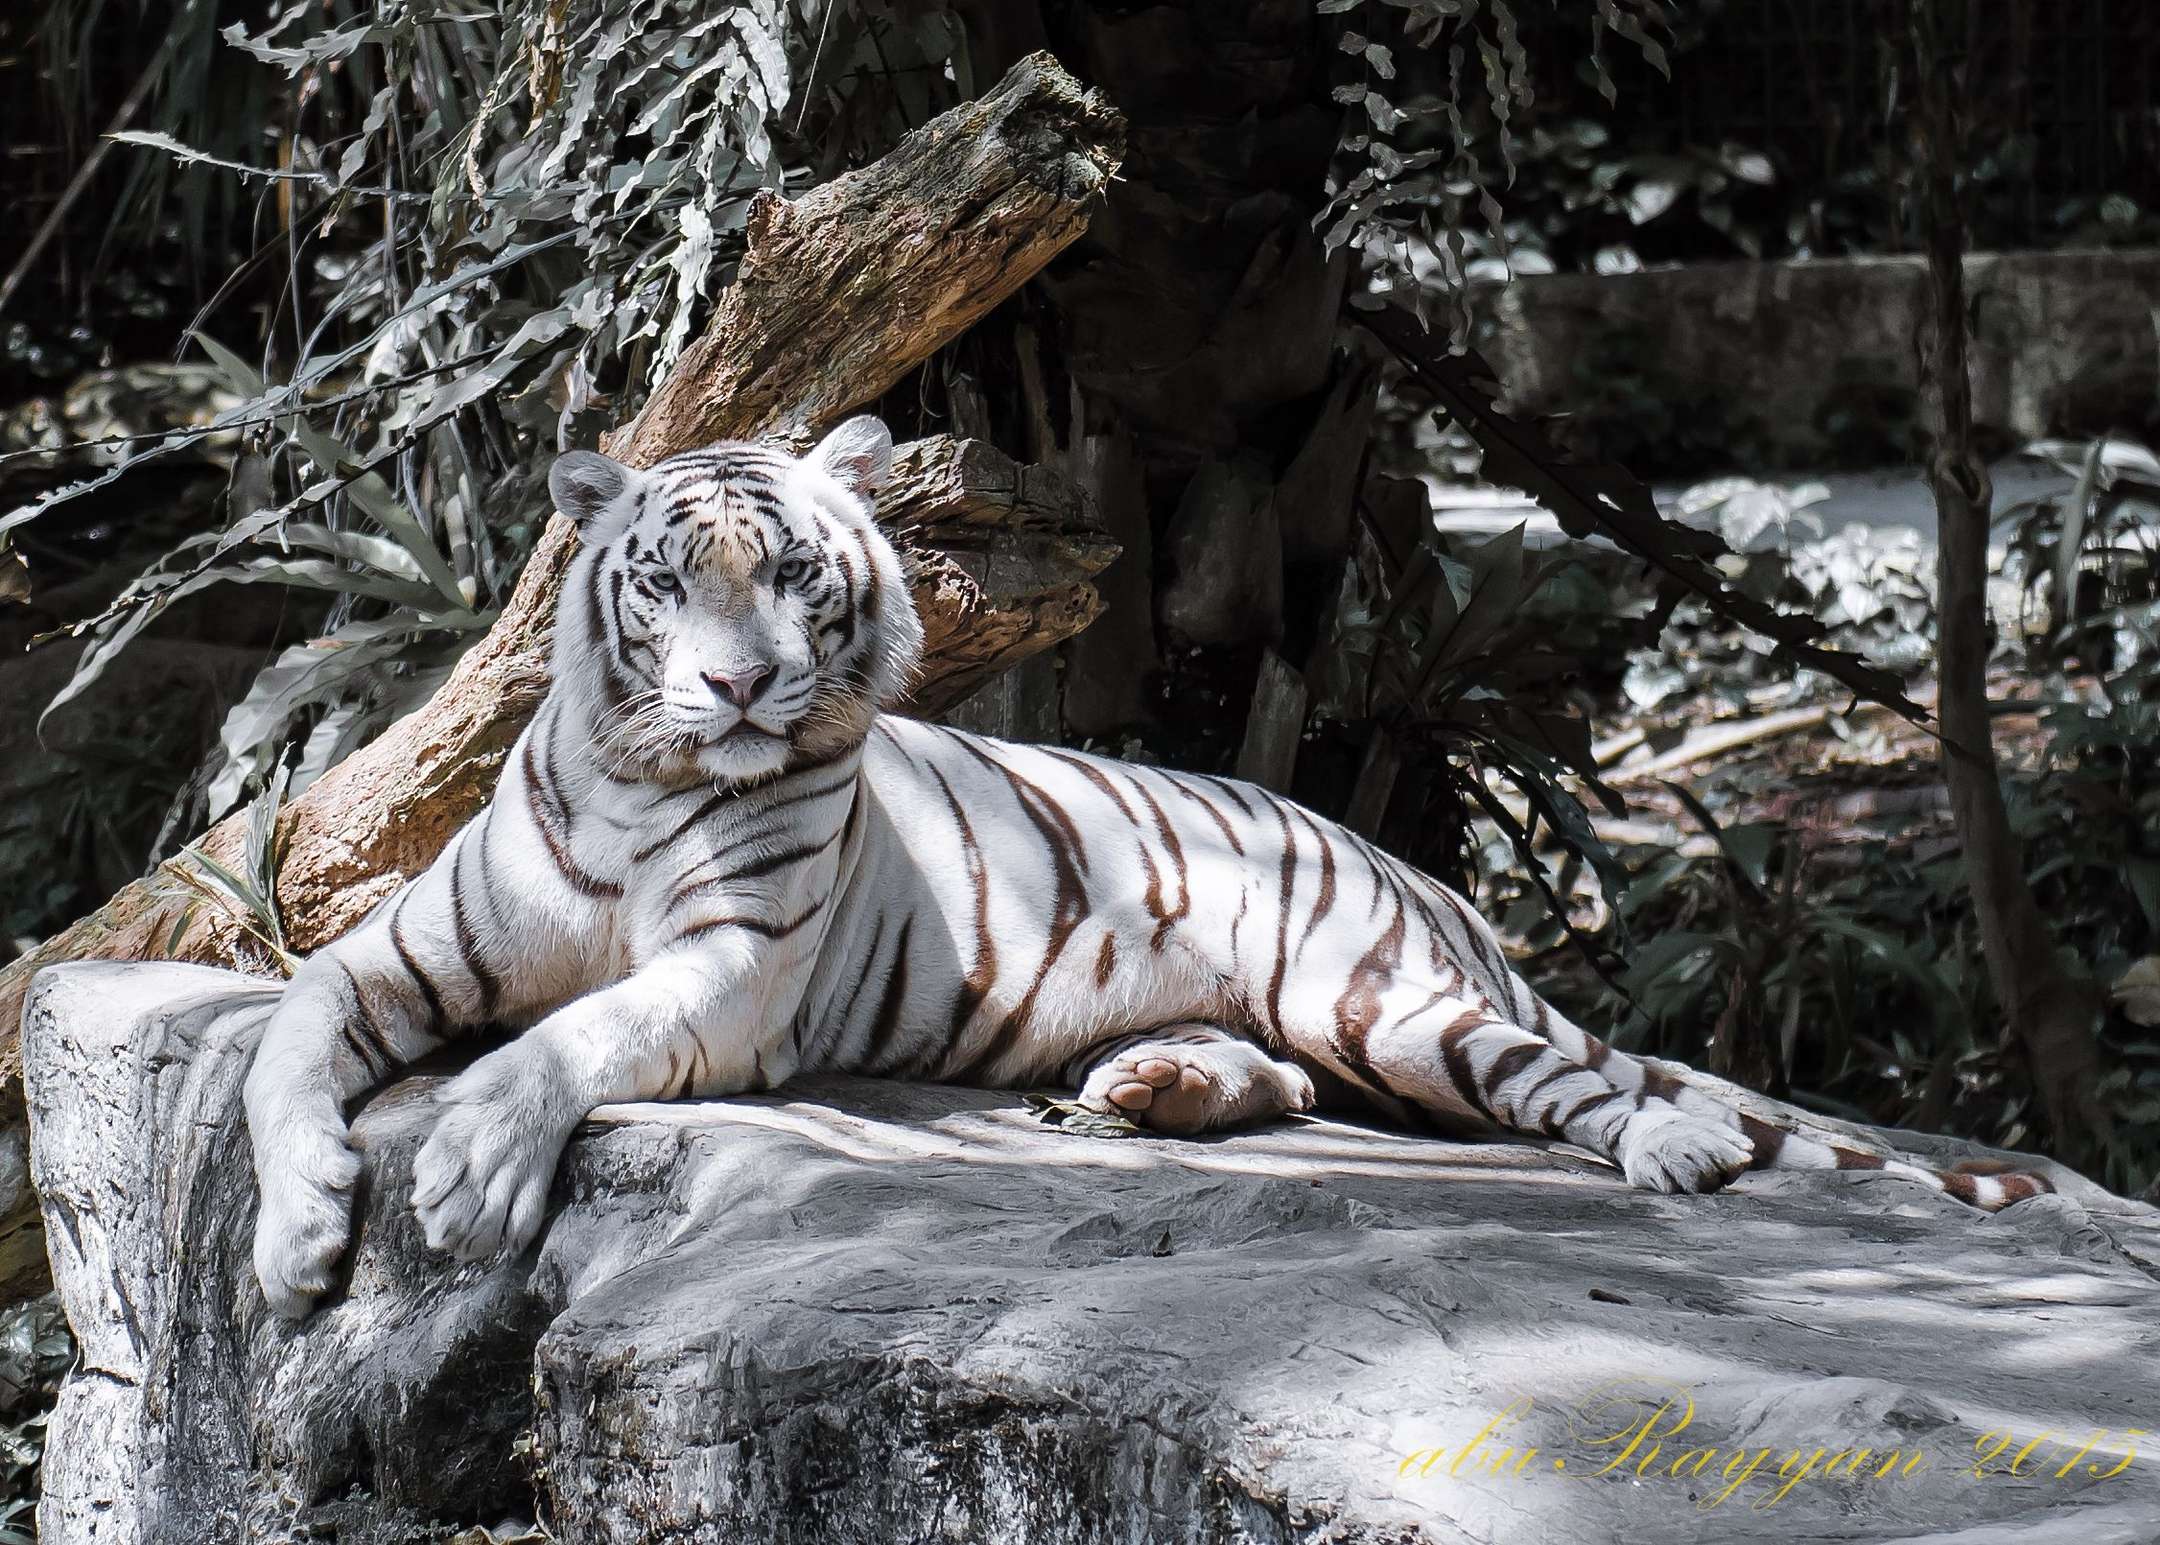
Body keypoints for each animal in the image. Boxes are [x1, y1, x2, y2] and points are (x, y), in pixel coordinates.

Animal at [243, 414, 2054, 1319]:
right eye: (673, 581)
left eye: (800, 580)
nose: (743, 688)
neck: (641, 779)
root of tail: (1414, 870)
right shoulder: (401, 949)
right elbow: (283, 1038)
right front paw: (299, 1231)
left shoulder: (734, 972)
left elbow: (569, 1036)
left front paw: (466, 1168)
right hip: (1310, 1019)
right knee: (1297, 1087)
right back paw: (1154, 1087)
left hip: (1389, 1001)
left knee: (1569, 1081)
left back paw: (1677, 1147)